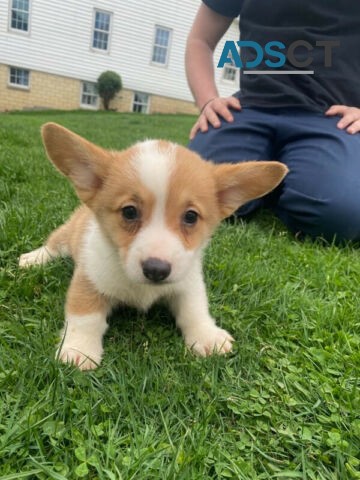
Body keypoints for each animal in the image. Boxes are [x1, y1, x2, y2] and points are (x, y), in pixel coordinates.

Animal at [19, 122, 288, 370]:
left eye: (191, 217)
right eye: (129, 212)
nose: (156, 270)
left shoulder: (188, 282)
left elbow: (195, 309)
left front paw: (207, 336)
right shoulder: (89, 279)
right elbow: (86, 316)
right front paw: (79, 350)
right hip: (68, 234)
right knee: (53, 244)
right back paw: (33, 260)